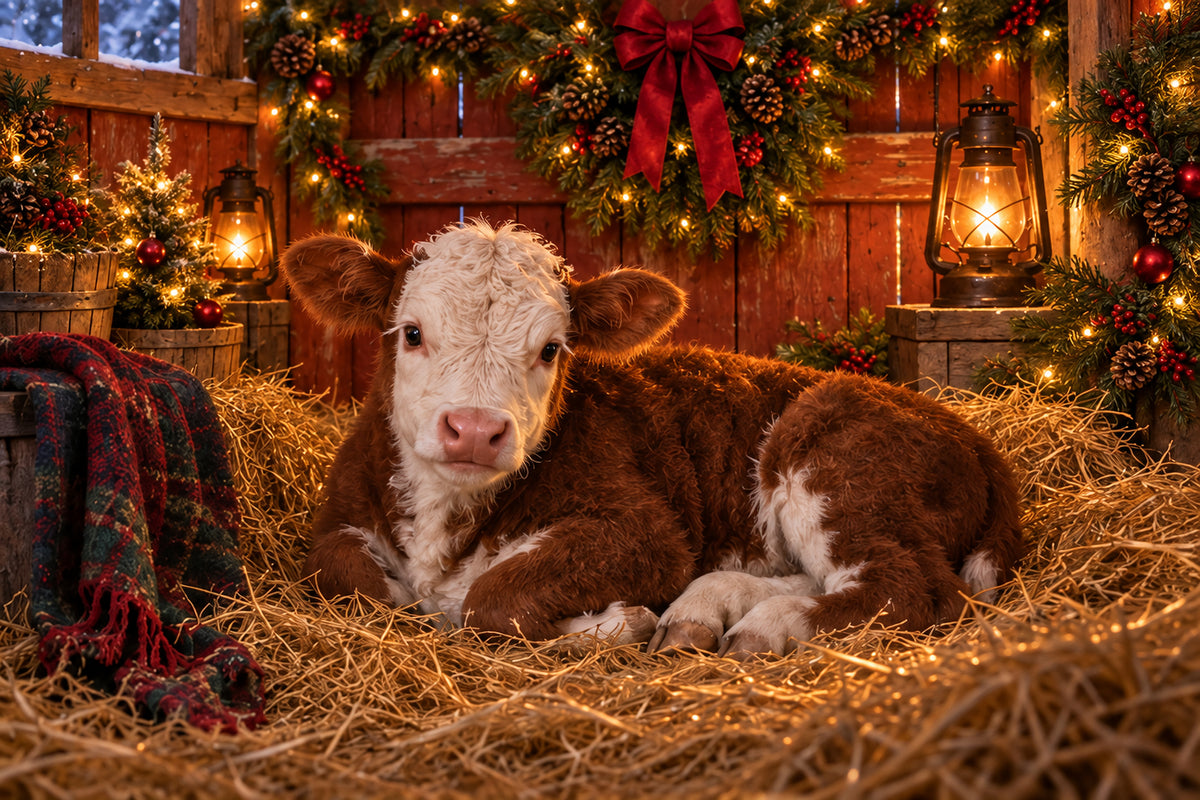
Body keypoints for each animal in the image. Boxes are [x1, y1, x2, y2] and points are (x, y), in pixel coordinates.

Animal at [281, 219, 1023, 657]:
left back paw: (762, 627)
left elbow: (490, 598)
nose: (475, 430)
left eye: (551, 349)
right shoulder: (339, 517)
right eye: (411, 332)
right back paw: (706, 610)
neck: (447, 531)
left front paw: (610, 625)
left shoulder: (645, 531)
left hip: (831, 458)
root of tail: (968, 430)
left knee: (910, 586)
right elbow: (351, 583)